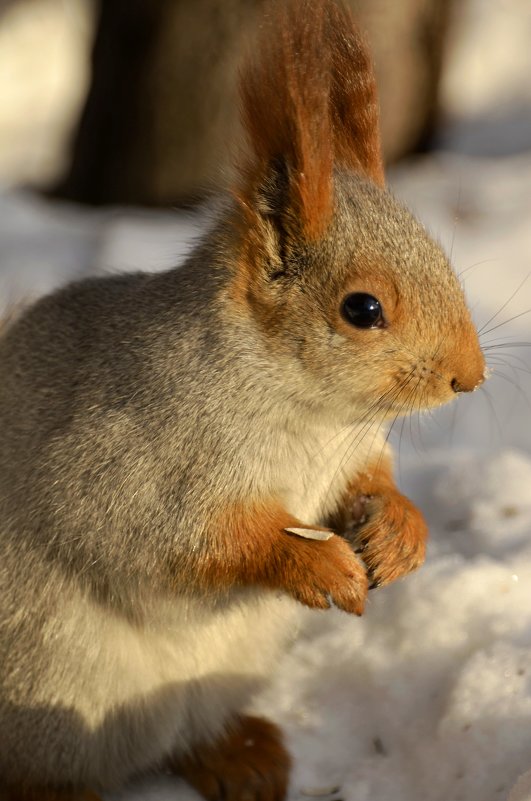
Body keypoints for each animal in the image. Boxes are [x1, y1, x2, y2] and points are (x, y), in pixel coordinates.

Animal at [0, 1, 486, 800]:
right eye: (362, 309)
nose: (469, 377)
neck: (314, 416)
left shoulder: (352, 453)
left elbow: (371, 485)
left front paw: (399, 531)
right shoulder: (126, 460)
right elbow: (179, 541)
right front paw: (315, 565)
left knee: (185, 739)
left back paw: (241, 753)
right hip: (49, 690)